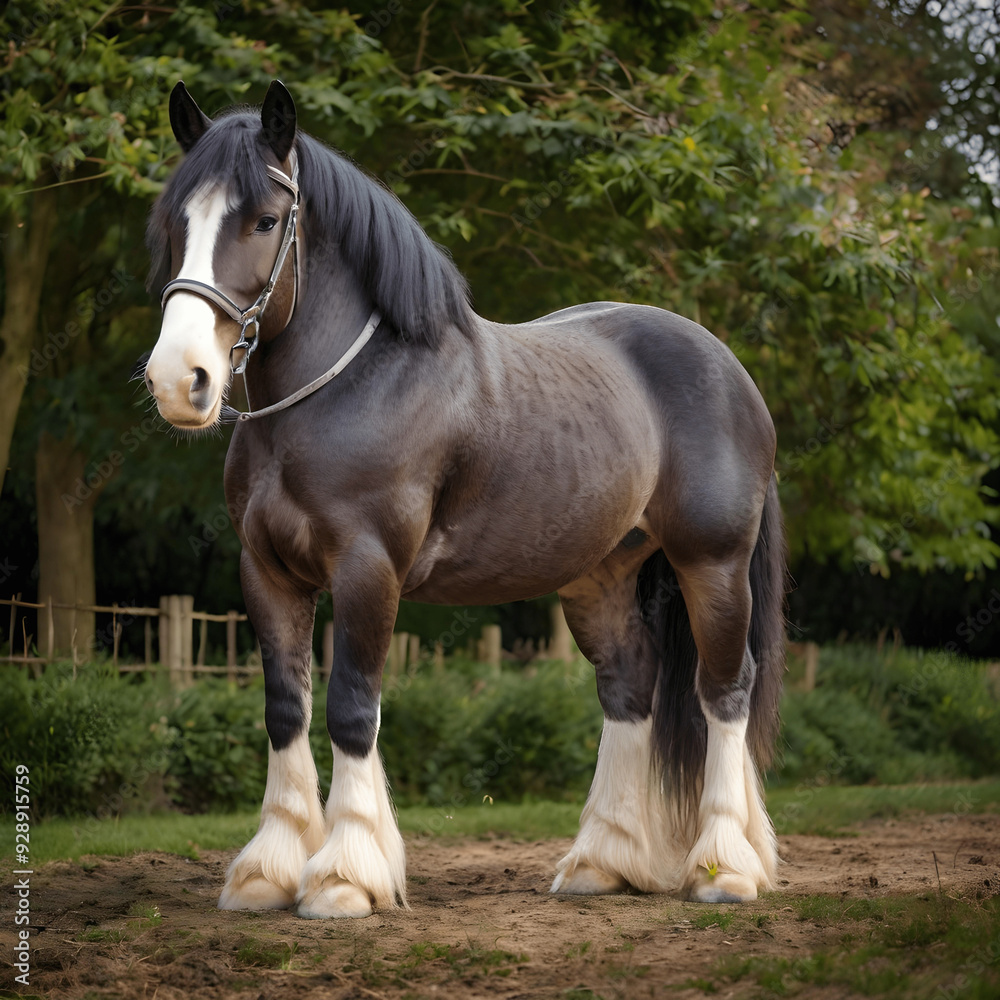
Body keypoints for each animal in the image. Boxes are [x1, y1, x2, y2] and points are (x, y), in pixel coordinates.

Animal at [143, 80, 787, 919]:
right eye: (176, 219)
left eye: (265, 219)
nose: (178, 378)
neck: (349, 387)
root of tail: (729, 367)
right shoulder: (268, 573)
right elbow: (288, 708)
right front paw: (269, 872)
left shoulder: (368, 568)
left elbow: (353, 708)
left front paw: (345, 875)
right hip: (600, 578)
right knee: (629, 688)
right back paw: (602, 862)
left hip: (712, 564)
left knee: (725, 692)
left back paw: (725, 866)